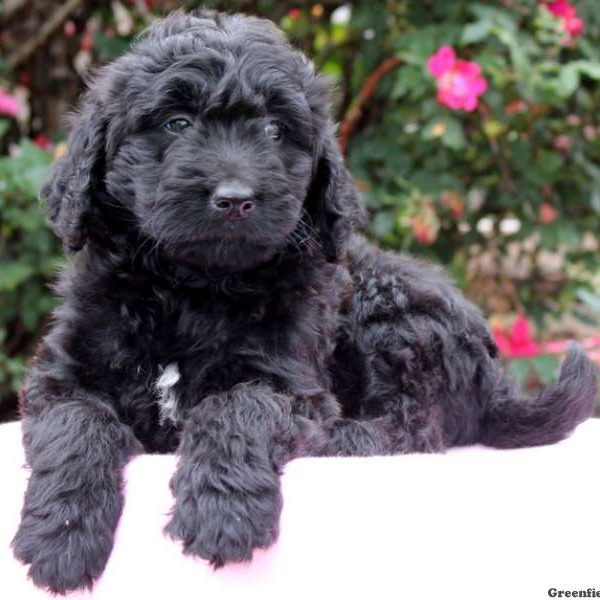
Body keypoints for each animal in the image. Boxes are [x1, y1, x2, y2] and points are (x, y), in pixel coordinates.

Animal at [12, 10, 596, 596]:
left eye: (275, 130)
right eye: (176, 123)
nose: (235, 199)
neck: (191, 287)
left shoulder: (291, 381)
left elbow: (237, 405)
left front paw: (224, 512)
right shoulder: (63, 375)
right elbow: (77, 421)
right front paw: (61, 536)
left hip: (391, 313)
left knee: (414, 427)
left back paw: (340, 439)